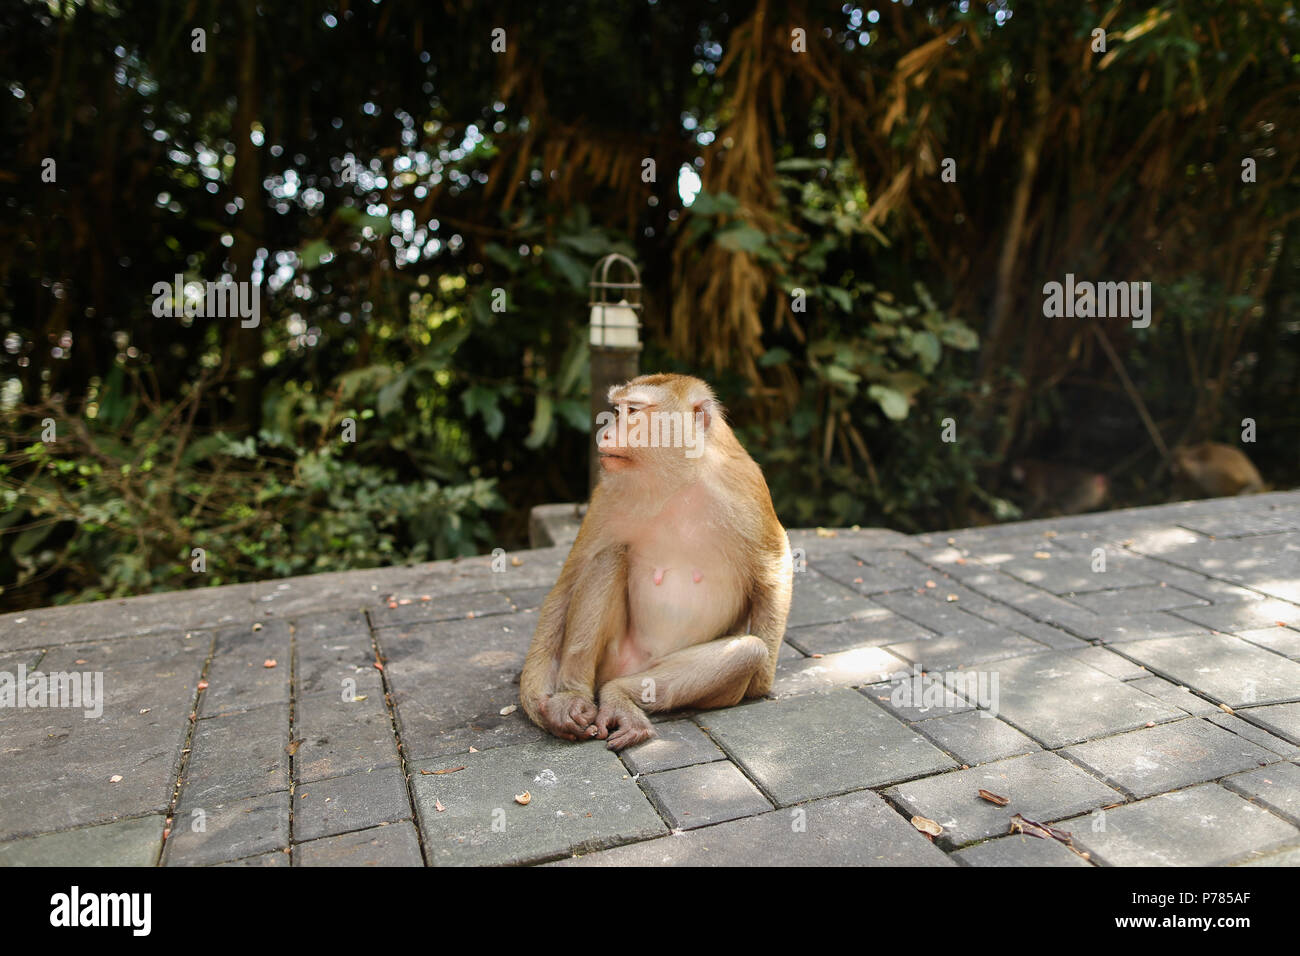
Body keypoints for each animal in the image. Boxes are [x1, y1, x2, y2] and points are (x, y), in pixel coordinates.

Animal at [517, 377, 790, 749]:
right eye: (616, 411)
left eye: (632, 411)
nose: (605, 434)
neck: (679, 480)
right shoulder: (608, 492)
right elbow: (569, 581)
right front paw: (542, 700)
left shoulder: (744, 486)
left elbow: (774, 567)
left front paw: (761, 683)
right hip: (612, 657)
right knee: (607, 558)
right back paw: (574, 695)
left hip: (655, 669)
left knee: (748, 651)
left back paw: (620, 696)